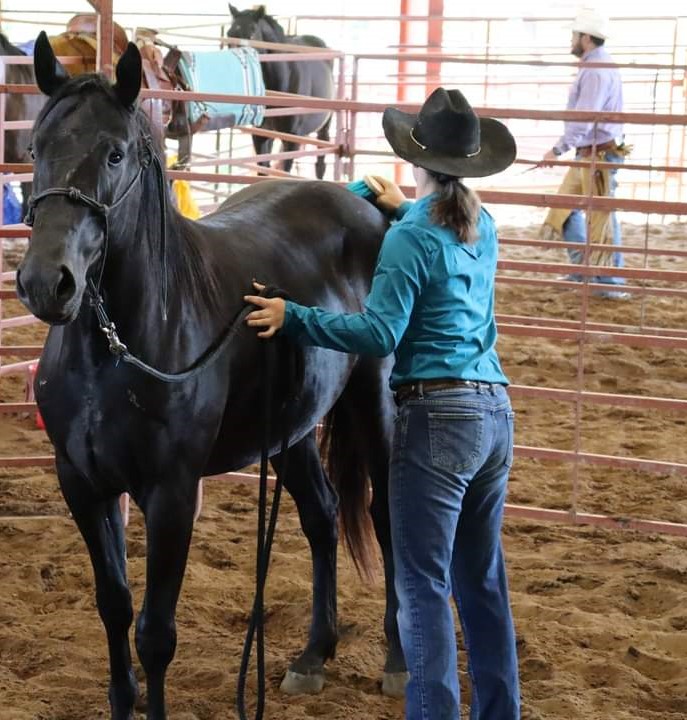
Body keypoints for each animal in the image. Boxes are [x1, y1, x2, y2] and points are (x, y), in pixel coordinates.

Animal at [17, 35, 408, 720]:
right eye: (37, 149)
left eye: (115, 153)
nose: (47, 282)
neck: (115, 354)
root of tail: (363, 202)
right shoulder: (83, 486)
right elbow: (114, 606)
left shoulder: (172, 495)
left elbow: (155, 632)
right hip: (291, 430)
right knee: (322, 516)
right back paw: (314, 654)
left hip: (372, 406)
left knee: (383, 518)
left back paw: (394, 660)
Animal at [228, 6, 336, 180]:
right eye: (229, 33)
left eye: (252, 33)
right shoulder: (260, 136)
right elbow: (263, 171)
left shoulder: (291, 139)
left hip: (324, 126)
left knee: (320, 164)